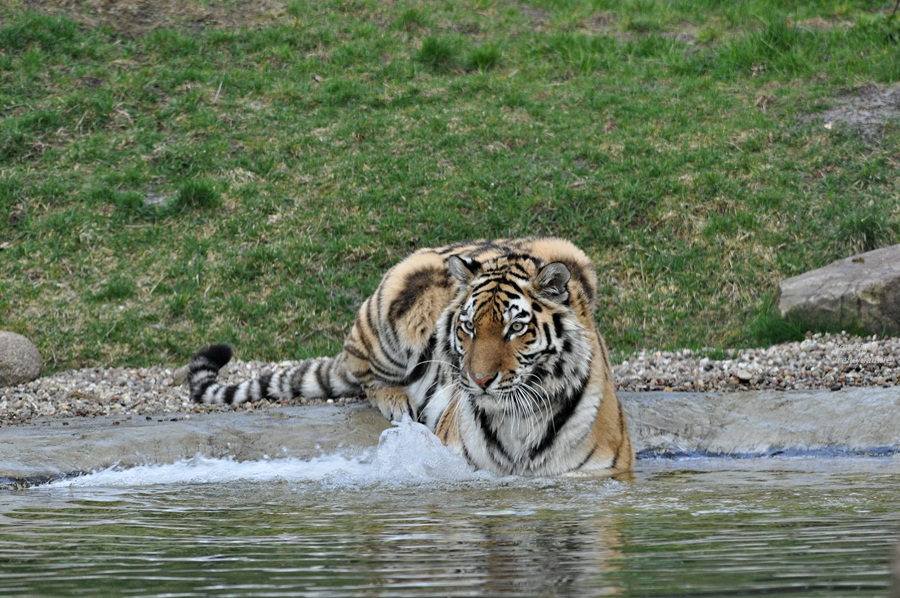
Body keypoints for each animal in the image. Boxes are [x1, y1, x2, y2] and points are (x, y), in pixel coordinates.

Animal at [188, 239, 632, 478]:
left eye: (515, 328)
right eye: (469, 328)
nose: (479, 380)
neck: (519, 420)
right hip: (396, 299)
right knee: (363, 373)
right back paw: (396, 401)